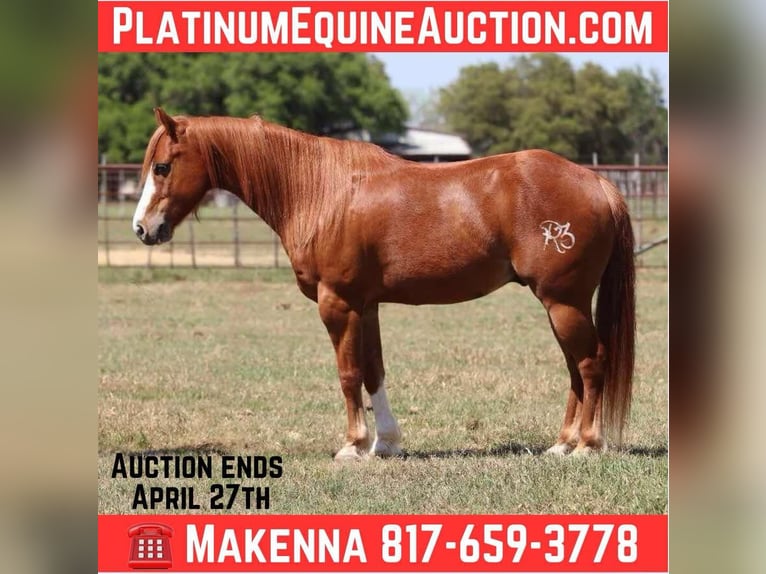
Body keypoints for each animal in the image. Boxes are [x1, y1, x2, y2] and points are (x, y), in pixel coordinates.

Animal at [133, 108, 635, 461]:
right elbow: (374, 370)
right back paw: (562, 443)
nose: (142, 229)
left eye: (162, 167)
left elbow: (348, 373)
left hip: (564, 302)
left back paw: (587, 445)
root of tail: (597, 183)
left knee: (590, 364)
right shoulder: (366, 305)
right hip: (561, 305)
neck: (320, 191)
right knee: (575, 369)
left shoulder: (337, 303)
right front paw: (386, 444)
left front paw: (353, 445)